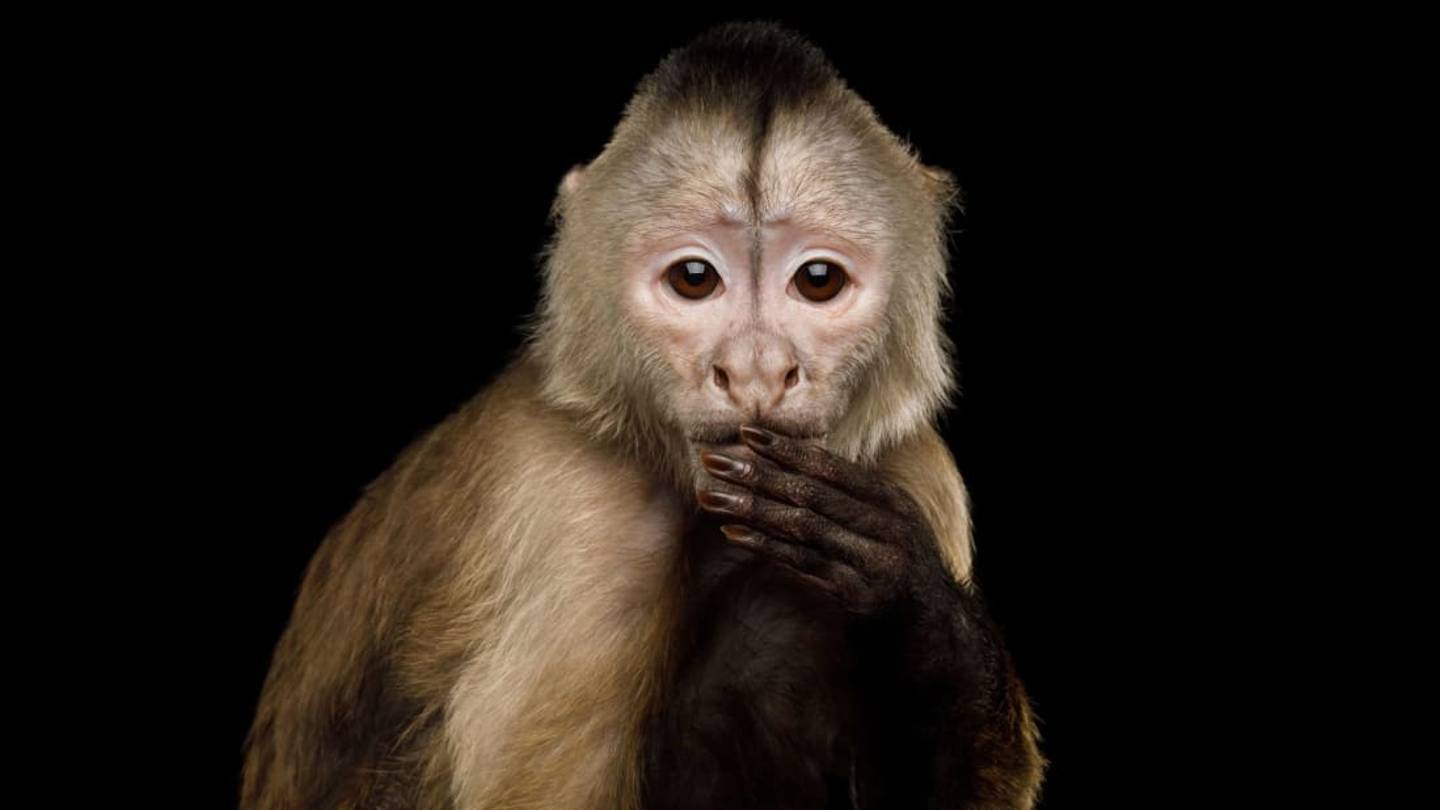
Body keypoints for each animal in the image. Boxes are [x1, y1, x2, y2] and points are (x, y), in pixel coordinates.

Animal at [241, 20, 1047, 810]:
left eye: (819, 280)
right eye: (694, 278)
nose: (756, 370)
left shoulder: (913, 472)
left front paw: (913, 604)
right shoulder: (576, 517)